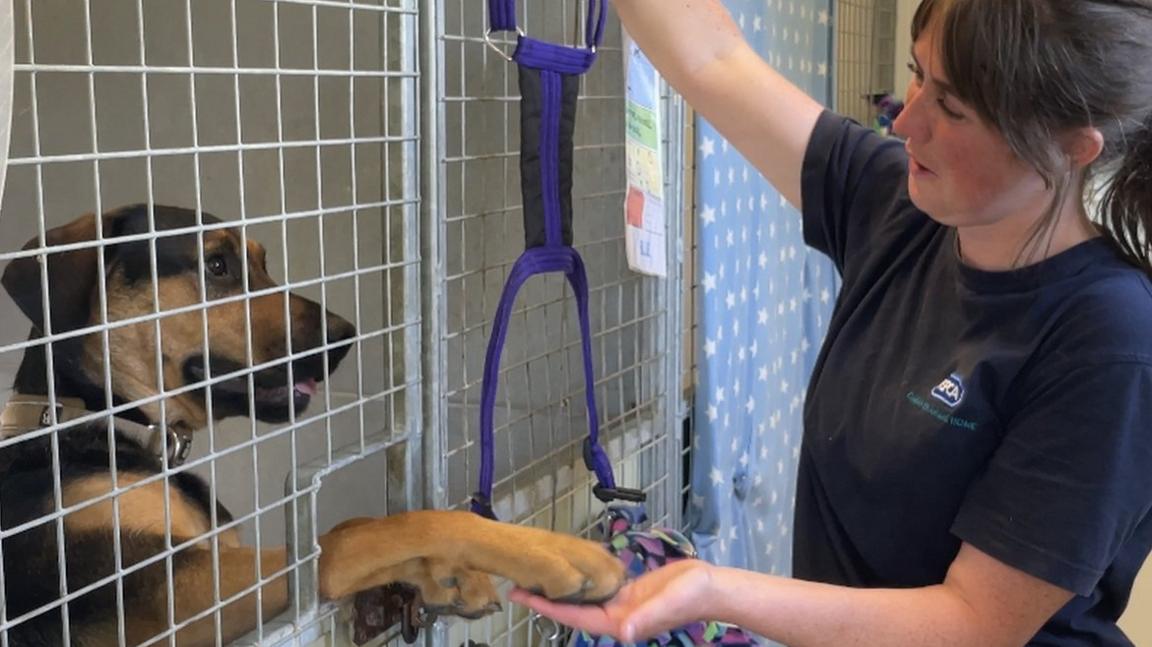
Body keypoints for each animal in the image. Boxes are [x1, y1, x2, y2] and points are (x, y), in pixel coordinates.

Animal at [0, 204, 622, 644]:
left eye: (261, 260)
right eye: (217, 265)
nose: (344, 337)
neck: (104, 425)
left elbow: (360, 528)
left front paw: (447, 575)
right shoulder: (168, 597)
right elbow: (359, 536)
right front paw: (549, 555)